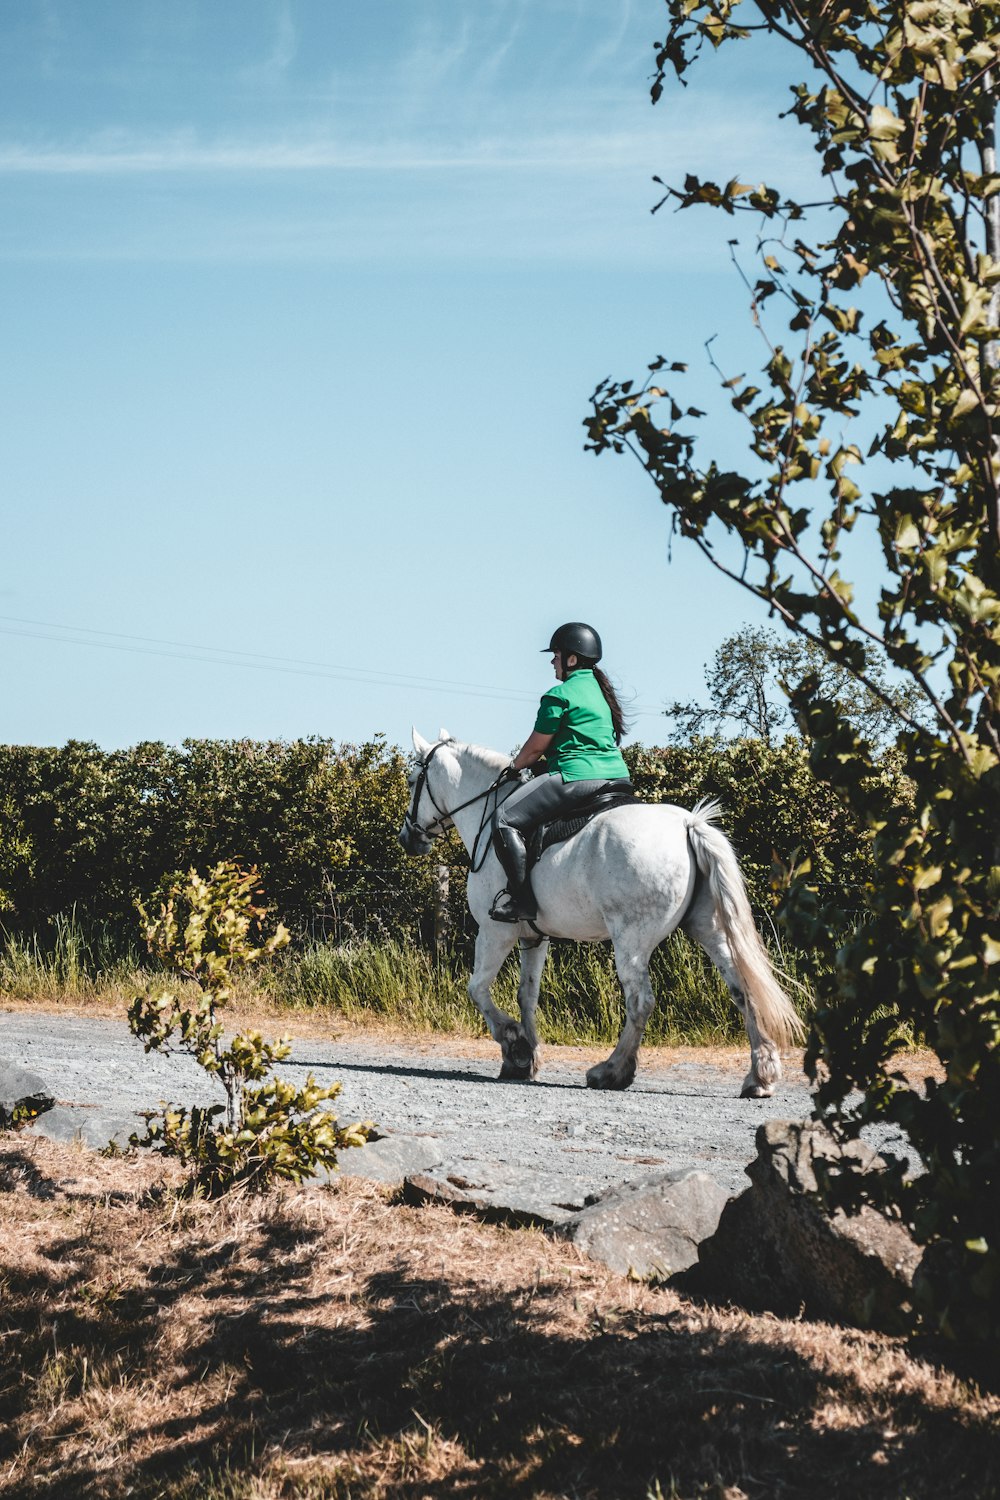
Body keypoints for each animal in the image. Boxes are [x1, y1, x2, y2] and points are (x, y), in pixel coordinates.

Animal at [401, 726, 803, 1092]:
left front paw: (514, 1044)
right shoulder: (533, 936)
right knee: (740, 987)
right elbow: (526, 995)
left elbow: (478, 988)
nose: (408, 839)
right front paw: (525, 1059)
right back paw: (760, 1075)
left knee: (640, 1001)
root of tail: (687, 824)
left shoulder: (496, 930)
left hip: (631, 939)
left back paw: (612, 1071)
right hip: (709, 928)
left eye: (411, 780)